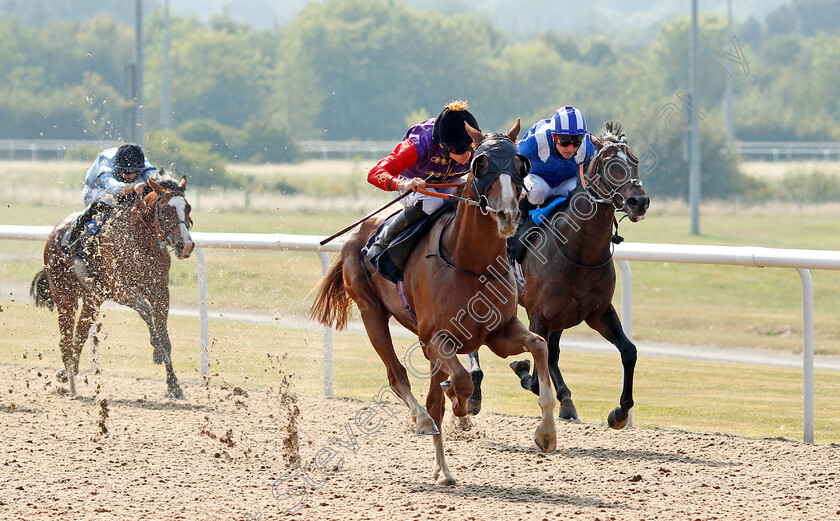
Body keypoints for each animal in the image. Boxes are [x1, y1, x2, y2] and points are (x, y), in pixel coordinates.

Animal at [30, 175, 194, 398]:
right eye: (166, 209)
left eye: (188, 208)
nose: (186, 246)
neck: (139, 241)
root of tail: (55, 233)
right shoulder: (119, 289)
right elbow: (145, 310)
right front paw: (157, 351)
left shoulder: (160, 292)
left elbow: (165, 336)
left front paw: (174, 385)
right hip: (64, 293)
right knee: (66, 334)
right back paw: (70, 380)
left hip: (92, 298)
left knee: (80, 332)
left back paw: (68, 371)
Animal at [308, 120, 556, 486]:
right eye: (480, 164)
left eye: (519, 164)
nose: (508, 215)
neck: (471, 263)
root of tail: (356, 235)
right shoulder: (435, 338)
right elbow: (461, 382)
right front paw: (460, 406)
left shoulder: (500, 333)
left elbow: (538, 345)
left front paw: (546, 433)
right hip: (371, 312)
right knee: (399, 377)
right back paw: (425, 422)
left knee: (433, 393)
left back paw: (444, 468)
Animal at [466, 121, 648, 426]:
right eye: (608, 163)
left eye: (633, 161)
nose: (639, 201)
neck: (578, 252)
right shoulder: (539, 316)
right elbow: (535, 375)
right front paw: (521, 367)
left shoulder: (598, 311)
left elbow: (628, 351)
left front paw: (620, 412)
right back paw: (474, 393)